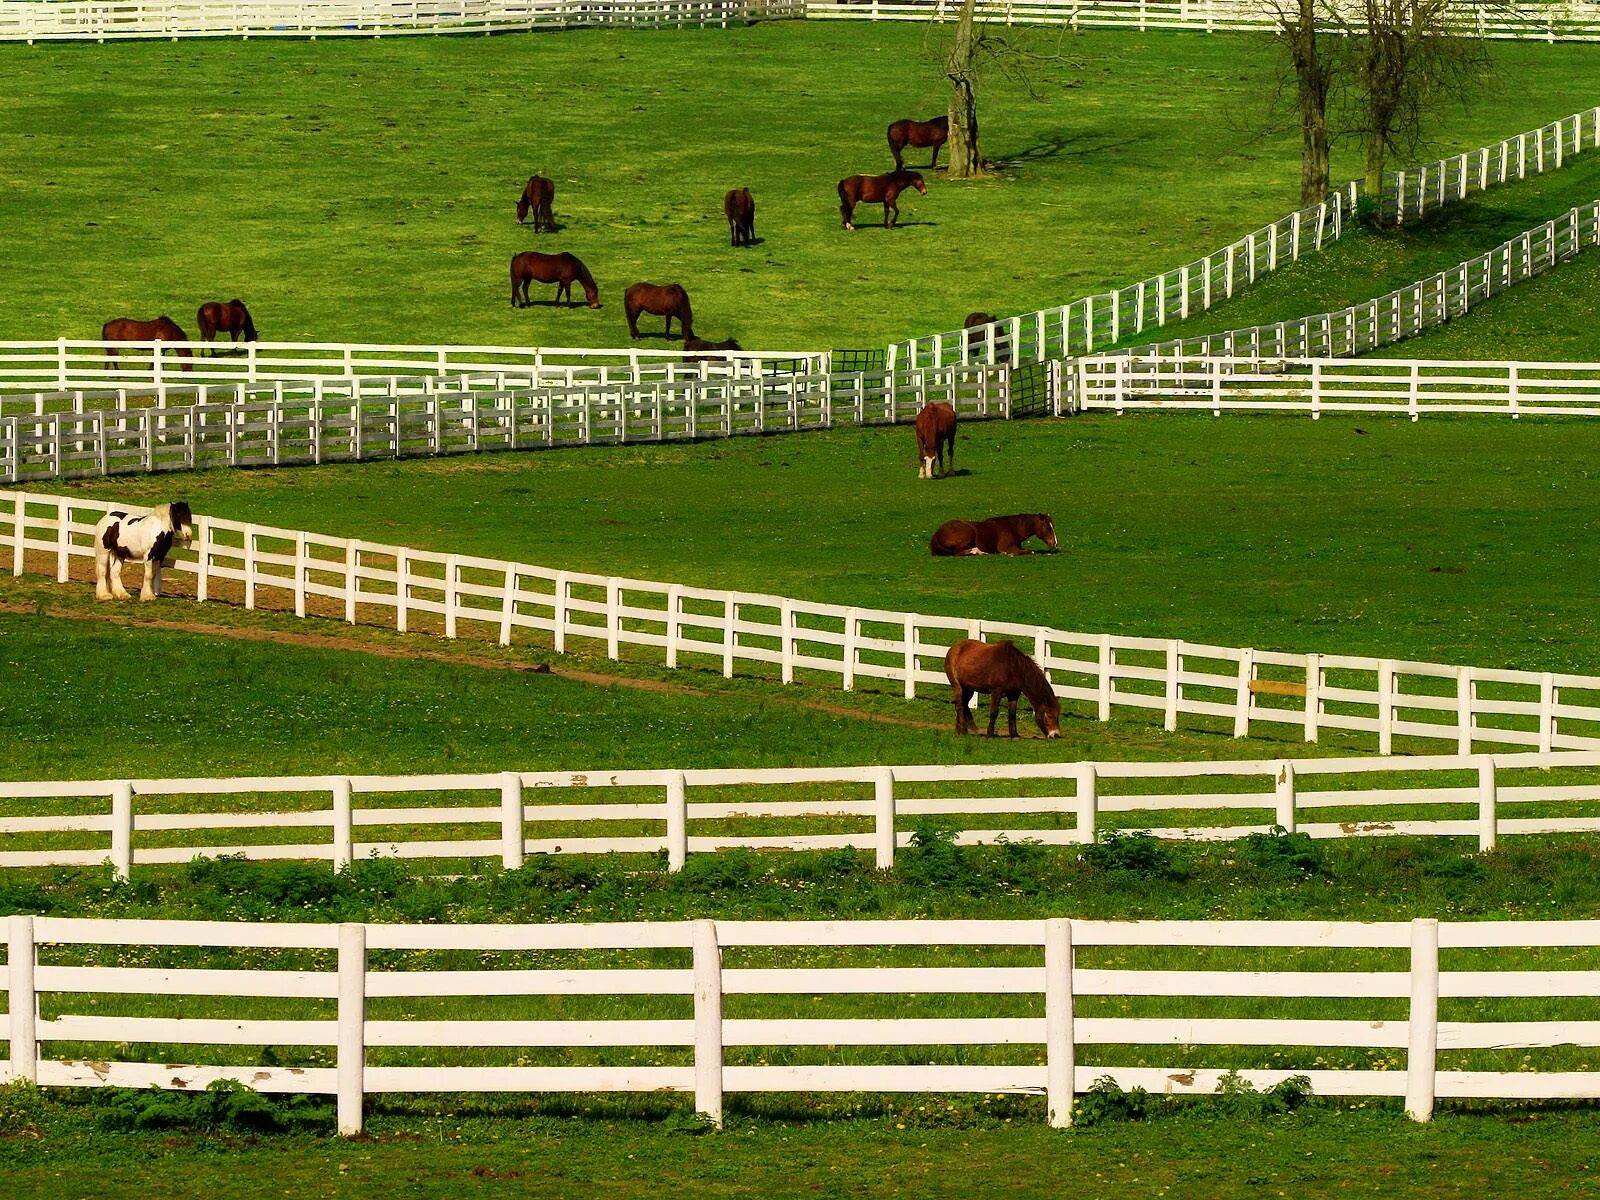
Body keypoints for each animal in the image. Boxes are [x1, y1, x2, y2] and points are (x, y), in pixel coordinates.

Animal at [934, 643, 1062, 739]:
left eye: (1057, 715)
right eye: (1049, 715)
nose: (1055, 735)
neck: (1012, 667)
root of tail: (954, 648)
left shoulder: (1014, 694)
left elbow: (1012, 714)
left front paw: (1014, 735)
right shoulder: (996, 692)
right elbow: (994, 712)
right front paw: (990, 734)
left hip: (969, 689)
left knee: (962, 704)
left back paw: (960, 729)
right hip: (957, 686)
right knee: (960, 705)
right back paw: (964, 731)